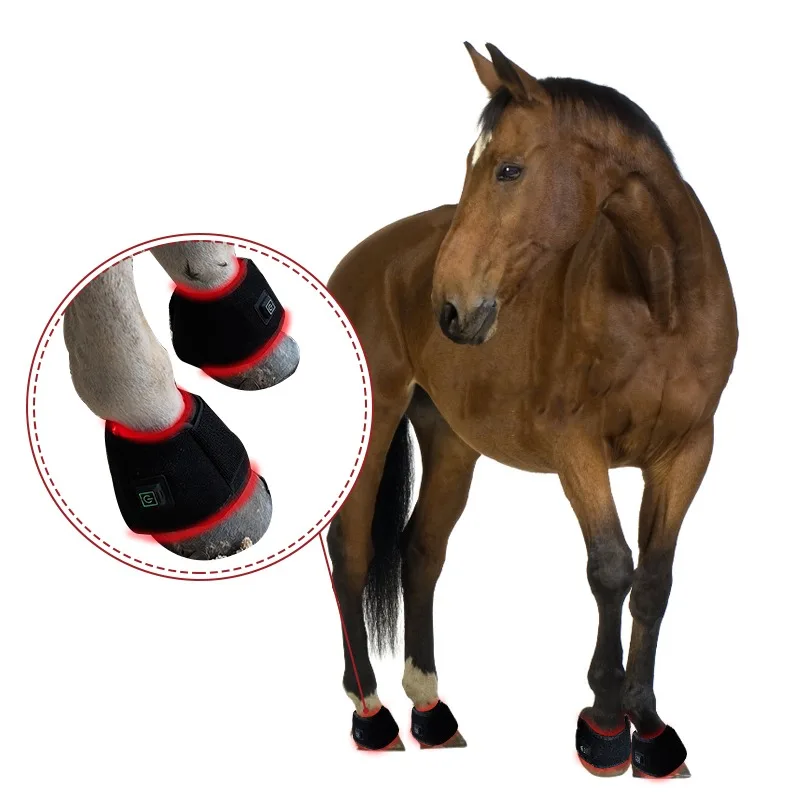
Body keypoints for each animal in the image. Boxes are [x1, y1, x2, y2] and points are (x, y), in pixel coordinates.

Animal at [326, 43, 737, 777]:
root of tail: (371, 256)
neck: (659, 304)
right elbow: (611, 568)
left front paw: (652, 731)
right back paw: (371, 714)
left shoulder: (688, 451)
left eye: (509, 169)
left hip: (451, 441)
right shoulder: (579, 449)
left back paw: (431, 711)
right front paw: (604, 727)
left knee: (420, 549)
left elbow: (653, 581)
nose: (449, 307)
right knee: (351, 548)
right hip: (382, 424)